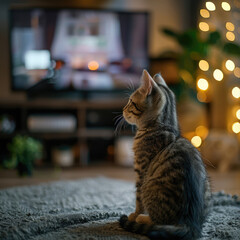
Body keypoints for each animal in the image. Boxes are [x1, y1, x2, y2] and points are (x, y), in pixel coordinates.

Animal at [119, 70, 211, 240]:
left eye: (131, 102)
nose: (122, 109)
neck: (163, 126)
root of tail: (190, 224)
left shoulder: (141, 173)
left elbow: (138, 200)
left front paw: (135, 214)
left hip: (148, 185)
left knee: (157, 221)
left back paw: (142, 218)